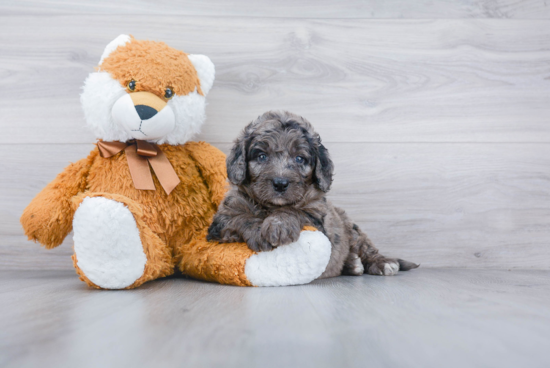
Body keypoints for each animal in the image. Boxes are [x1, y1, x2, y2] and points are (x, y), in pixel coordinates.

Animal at [209, 110, 420, 278]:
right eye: (261, 156)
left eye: (299, 158)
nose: (280, 183)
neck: (270, 206)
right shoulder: (220, 221)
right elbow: (240, 218)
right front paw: (259, 231)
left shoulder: (318, 219)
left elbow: (295, 211)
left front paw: (279, 224)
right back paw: (352, 264)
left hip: (352, 228)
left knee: (367, 248)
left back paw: (381, 263)